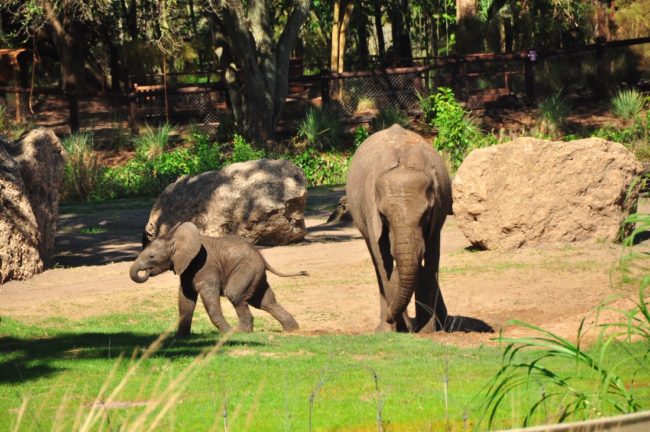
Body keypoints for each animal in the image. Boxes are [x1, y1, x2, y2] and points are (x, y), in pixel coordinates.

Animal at [132, 221, 306, 336]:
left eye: (151, 257)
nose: (145, 271)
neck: (175, 239)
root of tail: (262, 258)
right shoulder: (187, 268)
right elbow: (185, 299)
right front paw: (180, 337)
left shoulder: (205, 266)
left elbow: (209, 296)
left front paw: (227, 334)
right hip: (255, 274)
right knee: (265, 302)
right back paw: (291, 330)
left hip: (246, 269)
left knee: (235, 294)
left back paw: (241, 332)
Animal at [346, 123, 448, 332]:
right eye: (384, 216)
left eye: (426, 215)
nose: (410, 327)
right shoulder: (370, 210)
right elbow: (383, 260)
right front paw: (392, 330)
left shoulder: (438, 212)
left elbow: (431, 260)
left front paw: (427, 331)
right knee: (376, 262)